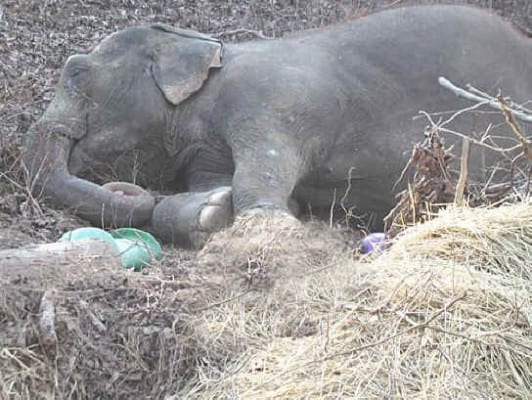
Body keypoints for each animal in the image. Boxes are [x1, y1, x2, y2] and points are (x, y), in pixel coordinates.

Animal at [23, 6, 532, 247]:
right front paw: (213, 210)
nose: (123, 186)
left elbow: (259, 175)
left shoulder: (271, 101)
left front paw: (266, 221)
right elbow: (203, 189)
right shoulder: (204, 149)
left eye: (76, 73)